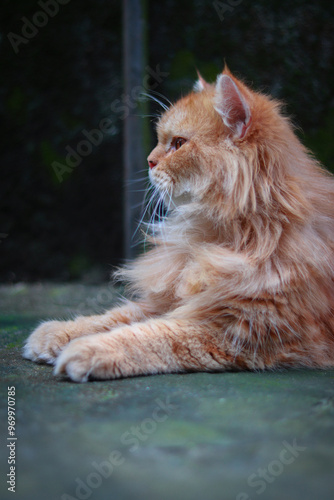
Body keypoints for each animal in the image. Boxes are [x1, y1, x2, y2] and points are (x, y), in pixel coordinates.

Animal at [22, 64, 334, 380]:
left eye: (179, 144)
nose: (149, 161)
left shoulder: (241, 329)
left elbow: (149, 336)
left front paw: (88, 351)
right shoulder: (171, 300)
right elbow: (114, 316)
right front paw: (56, 333)